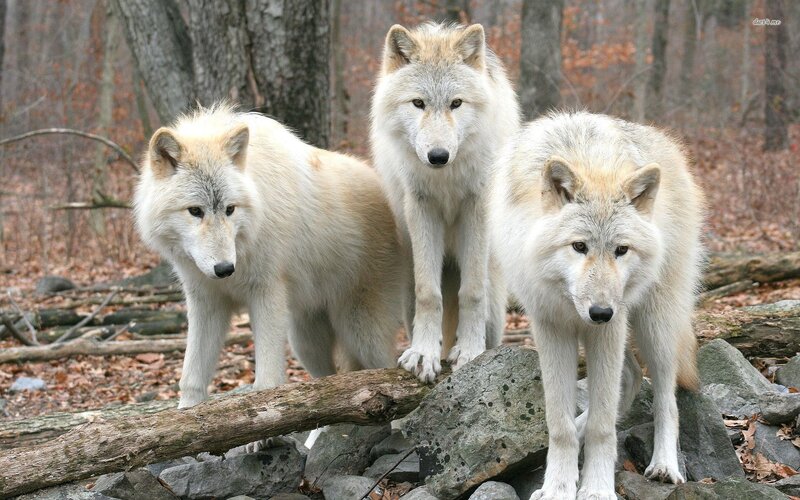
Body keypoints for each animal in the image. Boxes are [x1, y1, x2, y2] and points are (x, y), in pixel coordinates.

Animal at [134, 104, 403, 411]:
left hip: (362, 333)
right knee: (328, 381)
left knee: (387, 367)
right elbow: (191, 376)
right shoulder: (206, 300)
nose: (224, 269)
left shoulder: (267, 293)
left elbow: (268, 381)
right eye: (195, 211)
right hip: (304, 342)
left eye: (230, 209)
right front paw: (187, 415)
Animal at [371, 23, 520, 382]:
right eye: (418, 103)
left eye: (456, 103)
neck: (446, 177)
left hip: (496, 304)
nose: (438, 156)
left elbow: (472, 292)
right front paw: (424, 355)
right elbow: (429, 295)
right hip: (407, 287)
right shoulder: (421, 207)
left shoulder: (476, 207)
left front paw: (470, 352)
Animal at [491, 112, 704, 499]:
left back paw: (665, 465)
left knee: (666, 397)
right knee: (630, 377)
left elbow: (603, 427)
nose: (601, 313)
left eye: (621, 249)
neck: (590, 161)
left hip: (654, 326)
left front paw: (596, 489)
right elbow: (559, 424)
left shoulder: (610, 329)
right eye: (579, 246)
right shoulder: (551, 328)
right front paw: (557, 487)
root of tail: (673, 151)